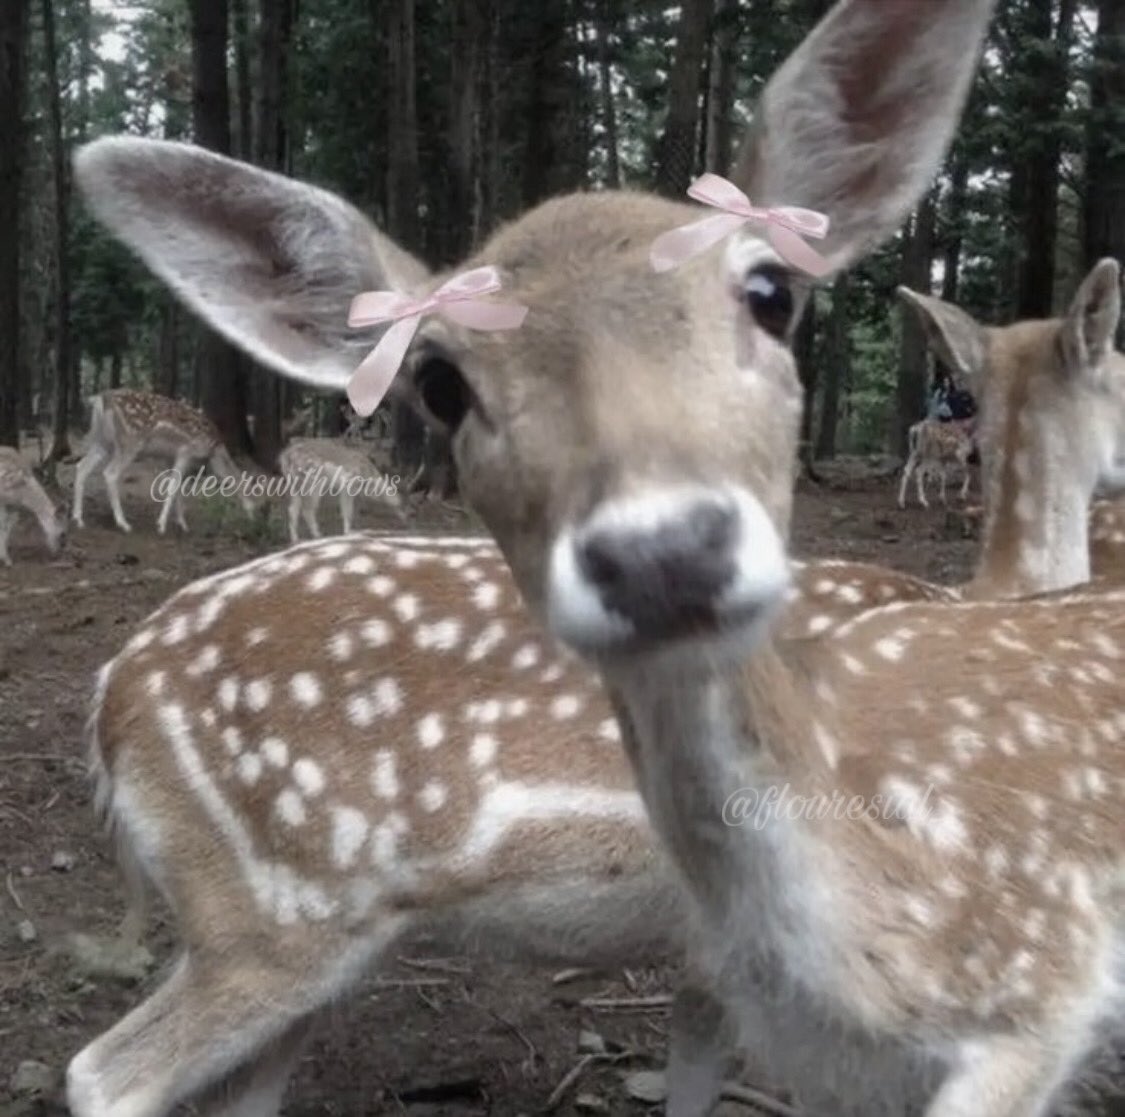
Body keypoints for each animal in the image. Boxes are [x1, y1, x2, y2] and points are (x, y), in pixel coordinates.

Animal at [72, 389, 256, 535]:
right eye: (252, 491)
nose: (254, 516)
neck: (214, 451)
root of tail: (100, 399)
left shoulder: (170, 457)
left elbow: (179, 487)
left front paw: (183, 524)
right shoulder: (186, 451)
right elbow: (173, 487)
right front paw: (161, 525)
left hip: (102, 441)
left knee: (82, 466)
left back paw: (78, 519)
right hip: (130, 441)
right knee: (110, 473)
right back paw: (123, 524)